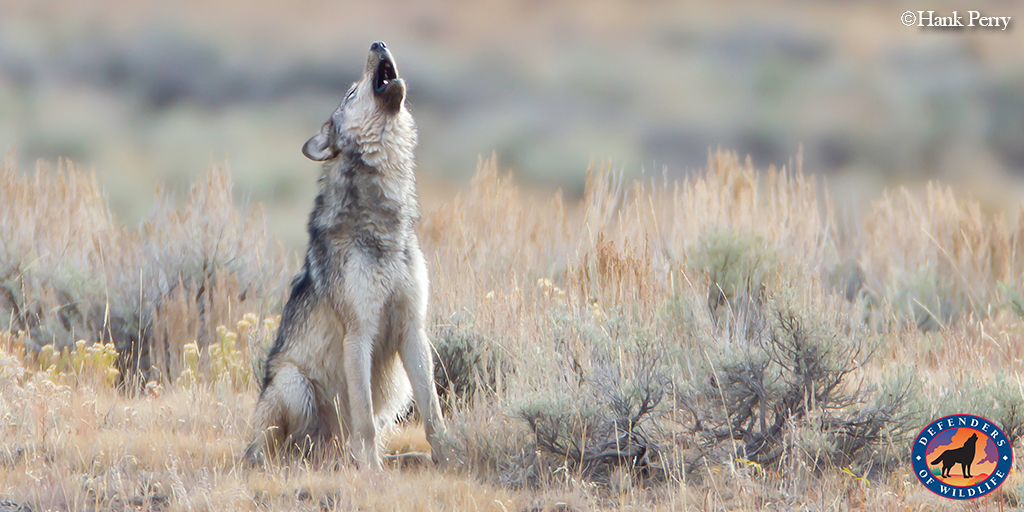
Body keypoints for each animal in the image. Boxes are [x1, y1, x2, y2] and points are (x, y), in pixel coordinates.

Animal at [243, 41, 448, 468]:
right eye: (351, 93)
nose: (378, 43)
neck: (382, 225)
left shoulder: (413, 330)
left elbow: (434, 415)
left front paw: (452, 457)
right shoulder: (359, 333)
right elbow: (364, 420)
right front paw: (371, 474)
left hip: (397, 386)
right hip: (292, 382)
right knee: (290, 448)